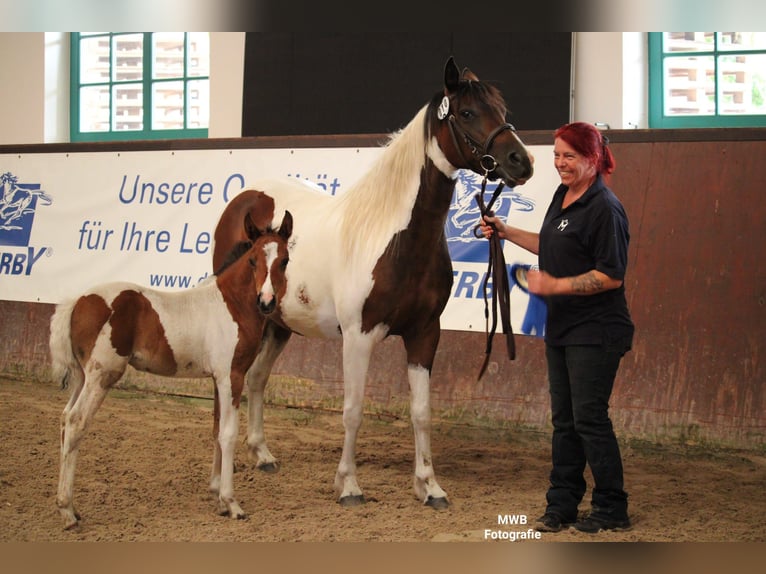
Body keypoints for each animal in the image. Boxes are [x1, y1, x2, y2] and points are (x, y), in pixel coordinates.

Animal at [48, 212, 294, 532]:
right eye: (253, 260)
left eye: (284, 260)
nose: (266, 302)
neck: (231, 305)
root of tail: (76, 301)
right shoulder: (231, 376)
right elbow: (228, 434)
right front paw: (232, 503)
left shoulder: (217, 379)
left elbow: (216, 430)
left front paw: (217, 497)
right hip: (102, 376)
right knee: (76, 422)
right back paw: (67, 511)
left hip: (81, 376)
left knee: (65, 418)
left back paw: (71, 509)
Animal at [210, 57, 536, 508]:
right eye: (468, 112)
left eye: (502, 110)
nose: (521, 162)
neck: (395, 239)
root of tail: (245, 200)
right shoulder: (358, 336)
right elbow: (353, 410)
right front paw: (348, 485)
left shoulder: (424, 334)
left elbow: (421, 412)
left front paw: (429, 486)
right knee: (225, 387)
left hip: (278, 324)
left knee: (257, 379)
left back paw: (263, 456)